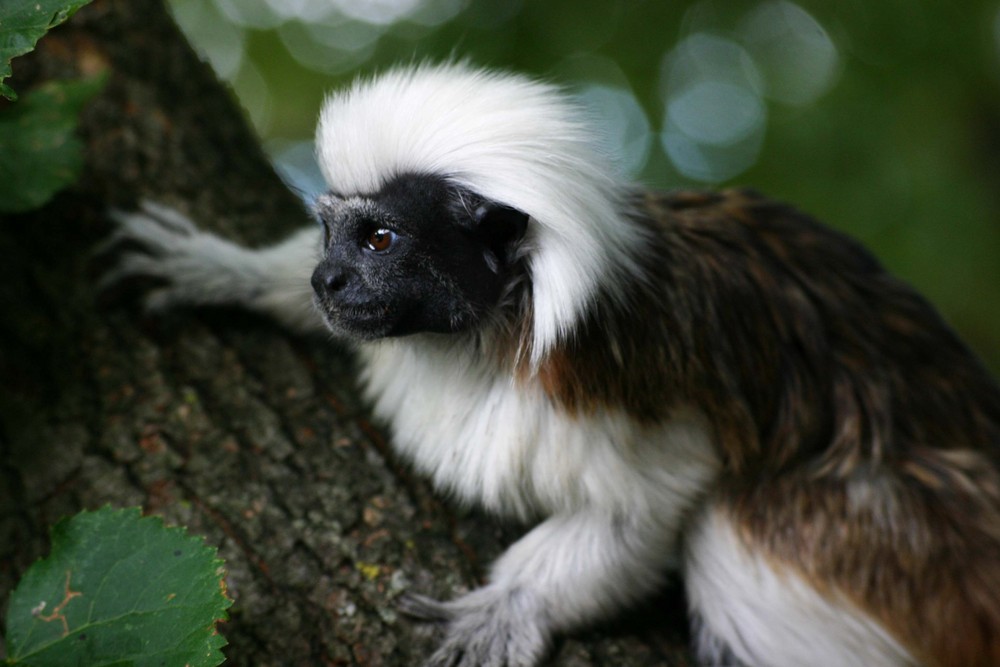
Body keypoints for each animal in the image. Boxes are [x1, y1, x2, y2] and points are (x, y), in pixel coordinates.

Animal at [103, 64, 1000, 667]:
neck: (491, 327)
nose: (326, 280)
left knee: (731, 527)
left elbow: (648, 508)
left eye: (380, 240)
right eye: (329, 236)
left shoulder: (618, 387)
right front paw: (230, 271)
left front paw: (509, 605)